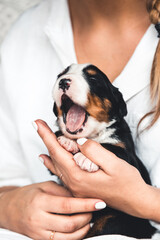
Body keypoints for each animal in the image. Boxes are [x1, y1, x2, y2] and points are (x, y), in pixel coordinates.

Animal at [52, 63, 155, 238]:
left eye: (93, 79)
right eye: (60, 75)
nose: (64, 81)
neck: (94, 134)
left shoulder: (128, 156)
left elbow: (109, 147)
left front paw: (85, 158)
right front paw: (67, 141)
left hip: (113, 220)